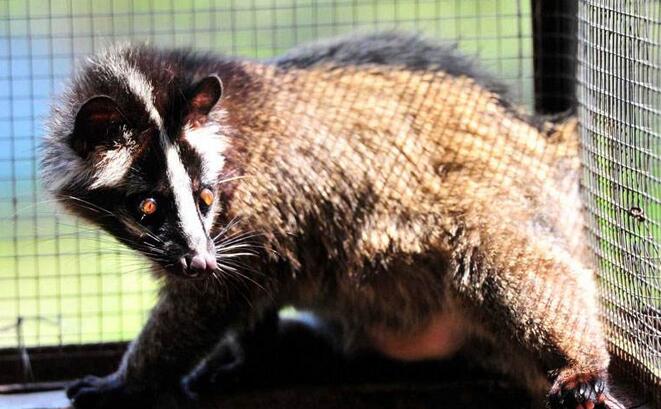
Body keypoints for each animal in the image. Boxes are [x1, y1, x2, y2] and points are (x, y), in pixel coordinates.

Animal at [41, 33, 618, 409]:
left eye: (204, 197)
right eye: (148, 206)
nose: (201, 259)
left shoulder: (253, 206)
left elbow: (210, 299)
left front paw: (131, 379)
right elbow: (249, 291)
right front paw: (250, 359)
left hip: (503, 190)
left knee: (503, 253)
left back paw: (580, 361)